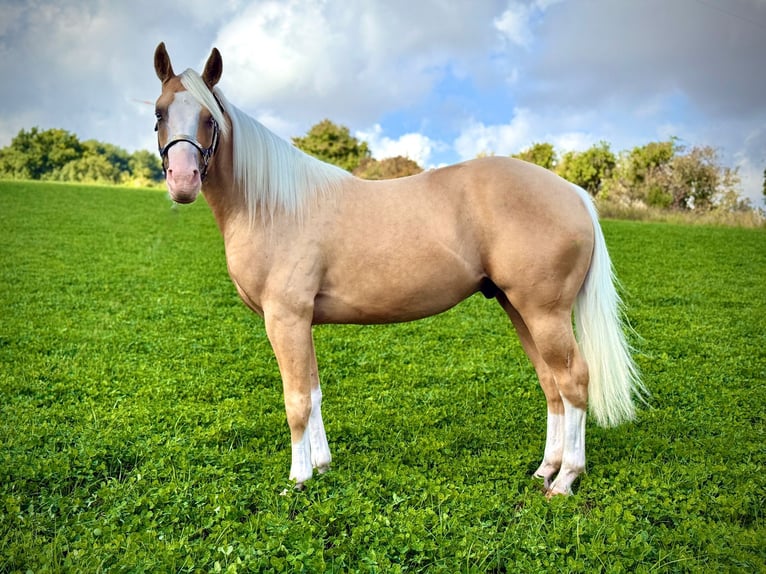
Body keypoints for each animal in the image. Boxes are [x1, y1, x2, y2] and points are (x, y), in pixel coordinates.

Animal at [152, 42, 644, 496]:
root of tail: (572, 193)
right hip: (519, 309)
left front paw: (299, 478)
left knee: (574, 380)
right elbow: (314, 393)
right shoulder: (302, 322)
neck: (274, 205)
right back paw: (546, 469)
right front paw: (323, 467)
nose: (182, 182)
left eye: (210, 118)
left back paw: (566, 479)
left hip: (545, 314)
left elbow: (296, 400)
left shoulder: (285, 318)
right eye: (159, 113)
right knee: (551, 384)